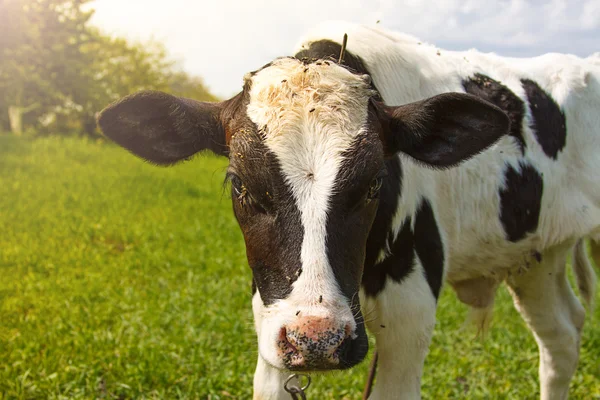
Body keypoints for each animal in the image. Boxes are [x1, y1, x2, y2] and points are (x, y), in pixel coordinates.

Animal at [96, 22, 596, 400]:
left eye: (375, 181)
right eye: (239, 182)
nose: (318, 340)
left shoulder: (410, 316)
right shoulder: (272, 320)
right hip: (535, 257)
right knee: (561, 338)